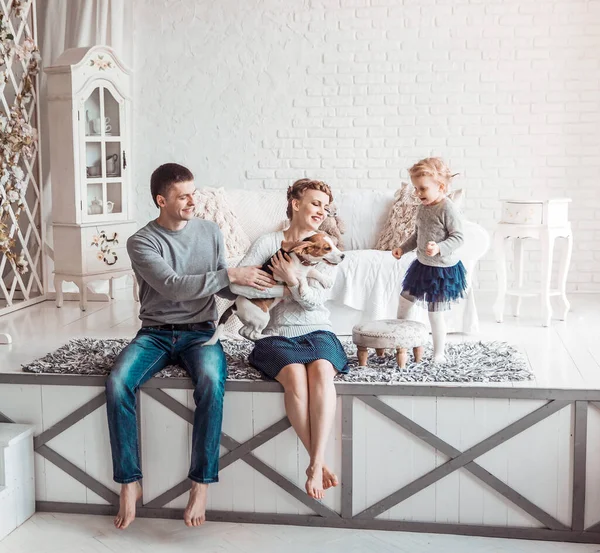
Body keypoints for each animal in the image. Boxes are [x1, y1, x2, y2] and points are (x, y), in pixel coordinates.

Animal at [203, 232, 344, 344]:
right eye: (327, 248)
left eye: (334, 245)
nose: (343, 256)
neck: (300, 259)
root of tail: (235, 306)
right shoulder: (281, 274)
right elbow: (300, 277)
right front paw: (304, 289)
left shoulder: (306, 269)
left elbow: (313, 272)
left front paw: (326, 280)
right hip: (263, 316)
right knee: (253, 334)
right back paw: (270, 336)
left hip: (252, 320)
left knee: (244, 331)